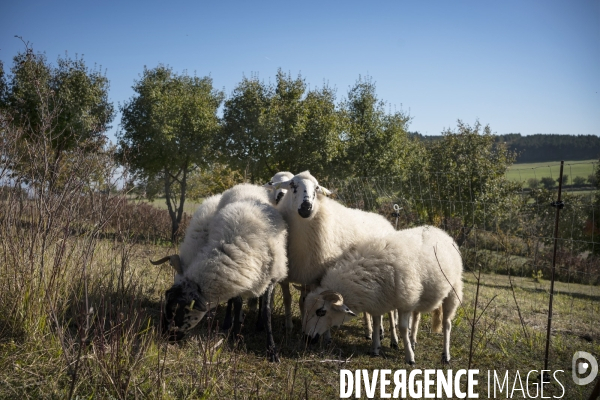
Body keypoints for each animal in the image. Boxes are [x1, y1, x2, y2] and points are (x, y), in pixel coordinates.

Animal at [152, 184, 288, 362]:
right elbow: (237, 305)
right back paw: (227, 323)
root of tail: (247, 185)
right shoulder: (238, 280)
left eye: (177, 310)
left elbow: (267, 312)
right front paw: (235, 336)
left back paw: (257, 324)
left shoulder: (271, 278)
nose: (165, 337)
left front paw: (272, 350)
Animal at [266, 171, 398, 344]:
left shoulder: (318, 276)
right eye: (293, 185)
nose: (306, 207)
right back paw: (369, 331)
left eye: (316, 188)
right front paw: (290, 327)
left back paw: (385, 334)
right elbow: (291, 299)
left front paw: (326, 336)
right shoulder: (291, 273)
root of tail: (383, 220)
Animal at [300, 227, 464, 364]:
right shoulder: (380, 301)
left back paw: (445, 355)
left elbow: (402, 328)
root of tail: (442, 232)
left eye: (321, 312)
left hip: (453, 289)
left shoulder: (406, 301)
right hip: (420, 296)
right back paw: (413, 341)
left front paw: (410, 357)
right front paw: (375, 349)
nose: (306, 338)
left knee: (447, 324)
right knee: (417, 316)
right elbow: (377, 323)